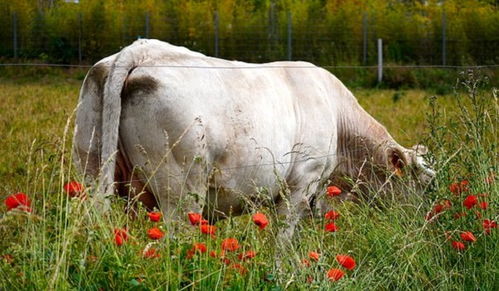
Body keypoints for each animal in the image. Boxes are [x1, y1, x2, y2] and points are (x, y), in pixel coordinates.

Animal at [72, 38, 436, 240]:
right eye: (426, 183)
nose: (428, 224)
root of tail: (140, 51)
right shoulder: (300, 185)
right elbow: (283, 243)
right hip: (181, 192)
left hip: (92, 167)